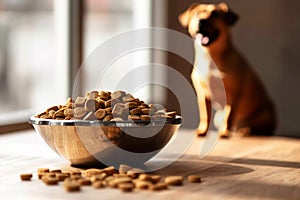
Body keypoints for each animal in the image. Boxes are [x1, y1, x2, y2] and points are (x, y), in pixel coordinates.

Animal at [178, 2, 276, 136]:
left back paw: (245, 131)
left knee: (260, 129)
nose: (201, 21)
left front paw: (224, 133)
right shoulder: (203, 95)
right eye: (197, 13)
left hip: (264, 116)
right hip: (218, 117)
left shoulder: (232, 96)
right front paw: (202, 131)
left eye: (215, 14)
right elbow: (205, 116)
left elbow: (229, 116)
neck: (210, 57)